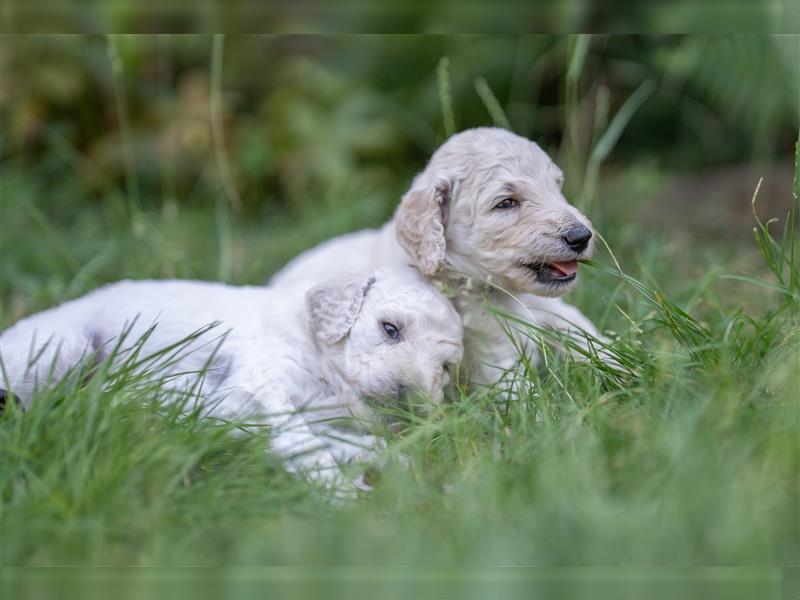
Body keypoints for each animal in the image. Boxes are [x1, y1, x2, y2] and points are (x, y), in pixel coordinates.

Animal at [0, 268, 462, 488]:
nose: (412, 402)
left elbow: (337, 439)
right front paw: (341, 493)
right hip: (62, 350)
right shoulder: (265, 384)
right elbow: (305, 444)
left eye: (445, 368)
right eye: (390, 328)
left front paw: (392, 461)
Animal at [272, 129, 604, 386]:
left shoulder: (553, 311)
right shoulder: (491, 355)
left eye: (557, 188)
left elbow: (588, 338)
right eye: (506, 203)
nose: (581, 236)